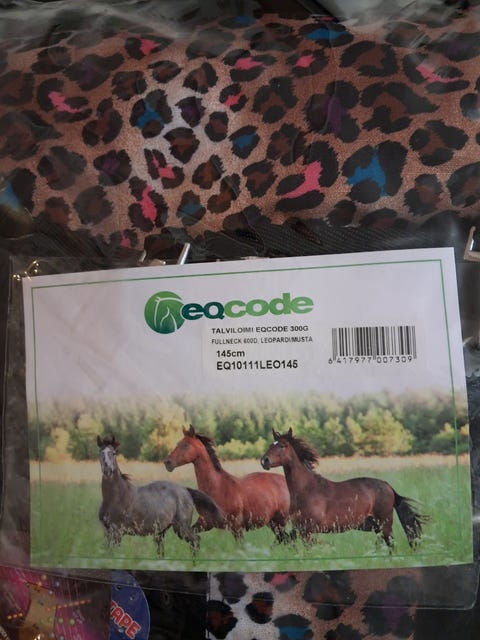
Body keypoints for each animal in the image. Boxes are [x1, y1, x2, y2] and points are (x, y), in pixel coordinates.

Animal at [260, 428, 428, 549]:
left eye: (282, 445)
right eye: (270, 445)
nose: (264, 460)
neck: (306, 490)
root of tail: (388, 486)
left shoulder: (308, 530)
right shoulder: (299, 528)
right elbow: (285, 540)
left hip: (384, 523)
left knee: (391, 544)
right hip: (374, 526)